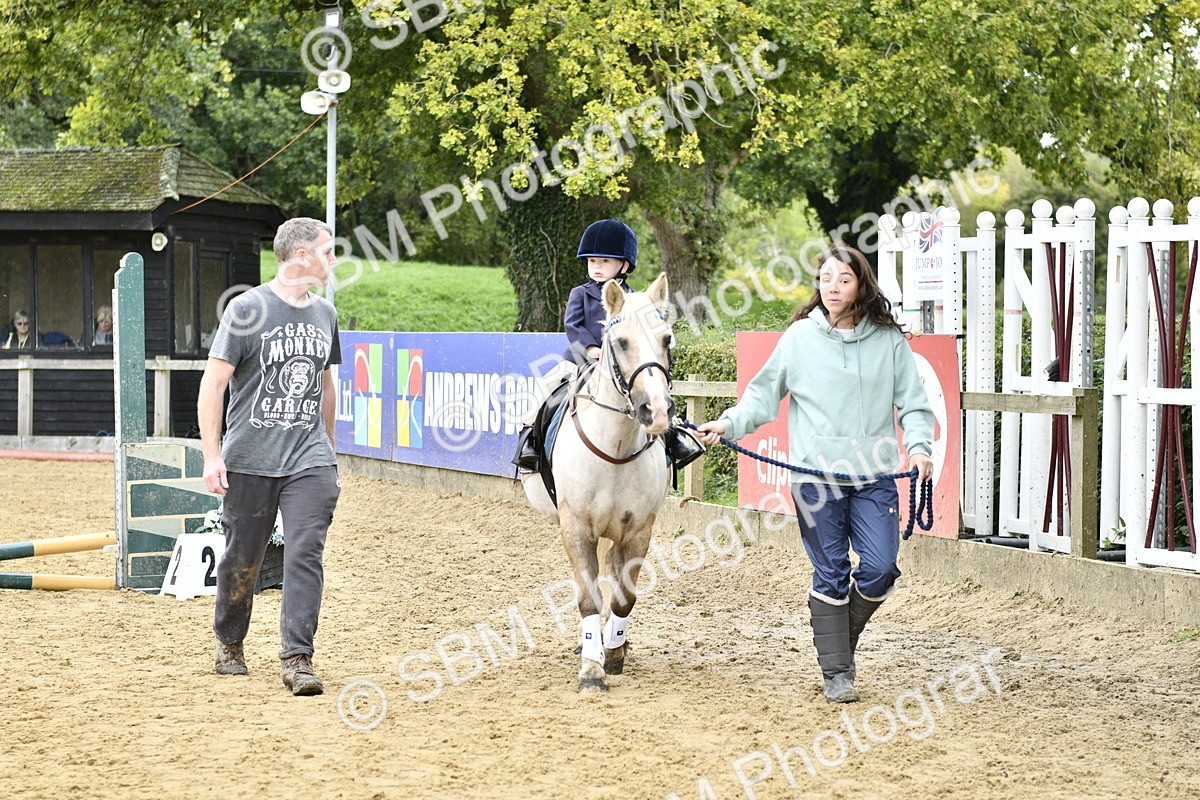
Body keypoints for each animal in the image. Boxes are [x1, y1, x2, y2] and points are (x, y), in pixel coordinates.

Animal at [523, 273, 675, 693]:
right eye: (620, 342)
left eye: (667, 339)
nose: (657, 411)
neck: (615, 447)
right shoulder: (576, 529)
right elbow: (589, 598)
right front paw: (592, 669)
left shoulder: (638, 531)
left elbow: (623, 598)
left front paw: (614, 650)